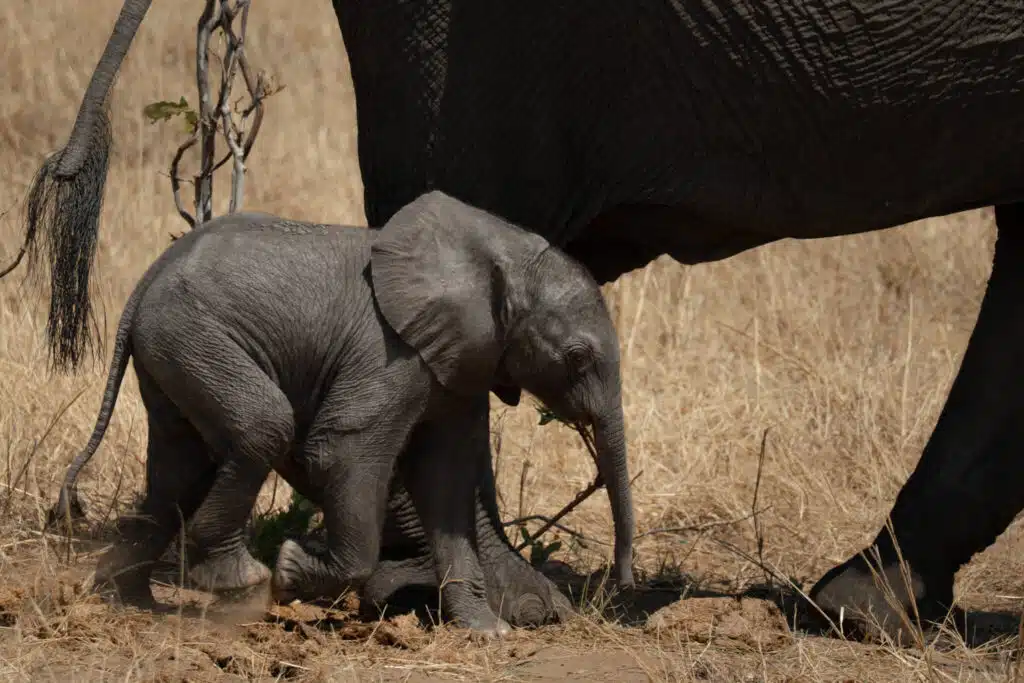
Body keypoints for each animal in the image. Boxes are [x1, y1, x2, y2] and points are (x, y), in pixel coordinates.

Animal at [47, 190, 634, 638]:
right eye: (577, 357)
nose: (622, 589)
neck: (497, 250)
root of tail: (146, 280)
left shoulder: (462, 362)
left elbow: (445, 484)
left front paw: (489, 634)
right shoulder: (387, 353)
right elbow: (343, 454)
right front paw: (288, 572)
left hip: (172, 348)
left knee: (177, 471)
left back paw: (127, 599)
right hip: (193, 334)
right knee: (262, 427)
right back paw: (238, 580)